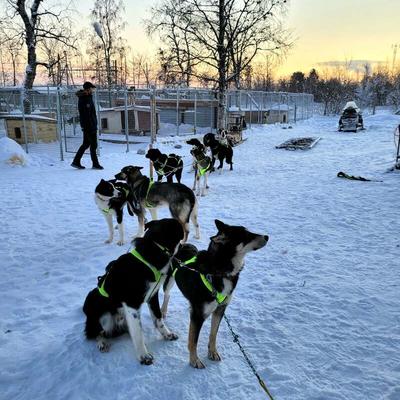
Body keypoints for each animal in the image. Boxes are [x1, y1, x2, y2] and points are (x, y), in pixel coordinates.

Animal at [82, 218, 184, 365]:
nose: (182, 245)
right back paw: (102, 343)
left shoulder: (152, 296)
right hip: (104, 316)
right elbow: (138, 334)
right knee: (97, 333)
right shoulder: (132, 305)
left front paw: (167, 334)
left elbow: (158, 318)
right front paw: (144, 355)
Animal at [169, 219, 268, 368]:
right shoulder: (198, 316)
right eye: (246, 236)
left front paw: (212, 352)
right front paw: (194, 360)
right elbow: (193, 341)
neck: (220, 271)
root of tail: (183, 244)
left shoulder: (220, 309)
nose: (267, 236)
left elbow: (213, 334)